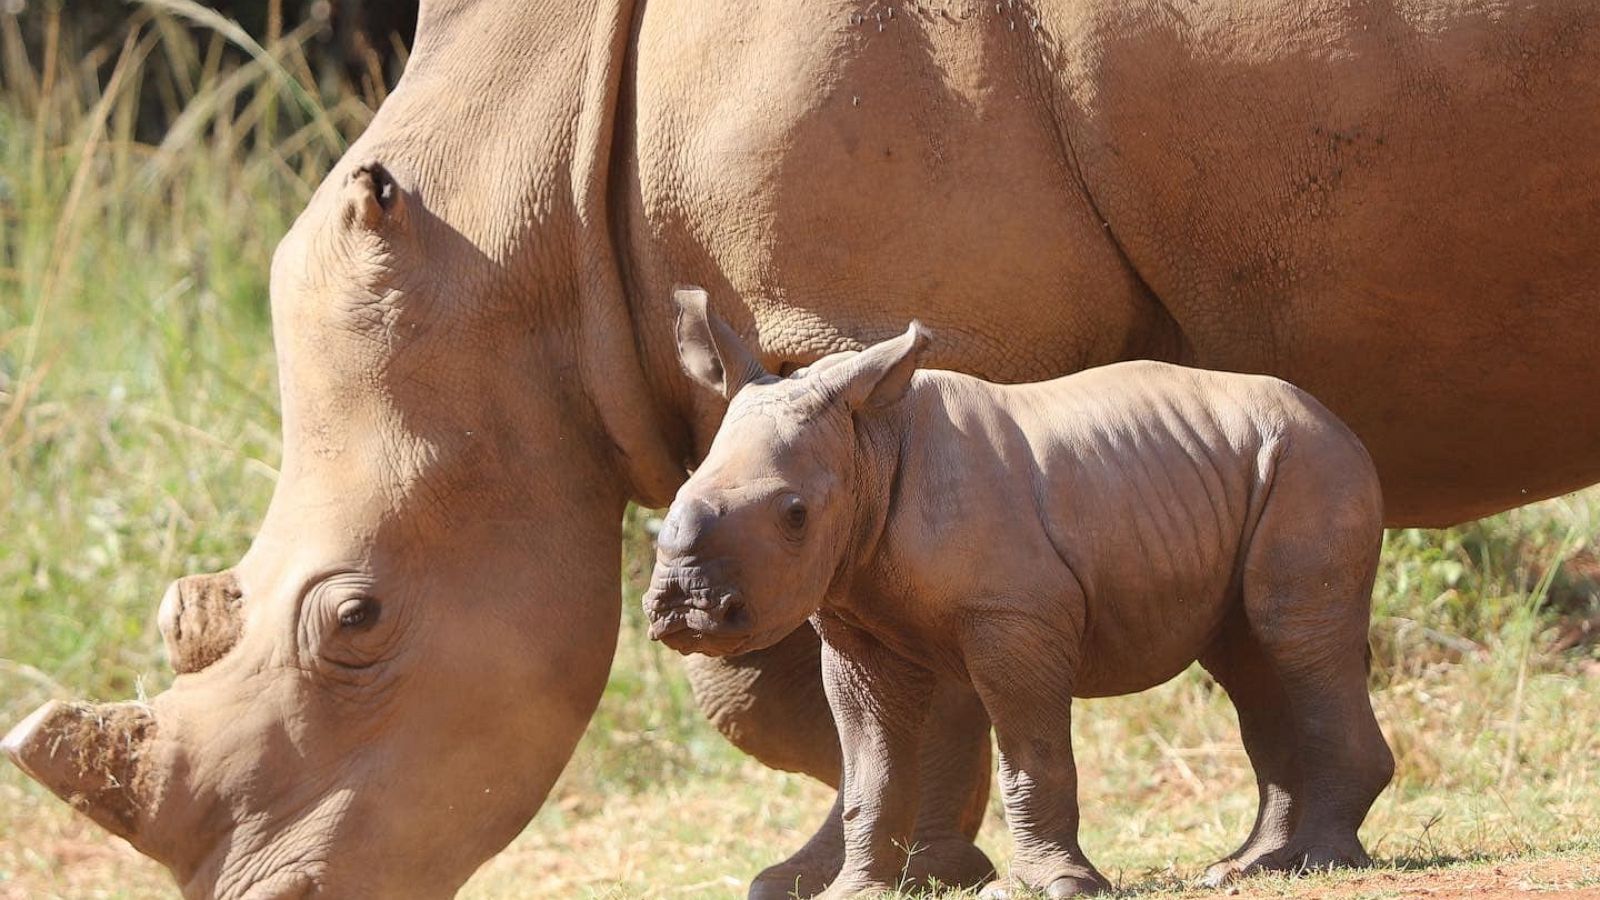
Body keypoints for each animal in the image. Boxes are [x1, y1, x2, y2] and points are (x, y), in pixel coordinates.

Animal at [643, 288, 1395, 896]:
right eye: (679, 493)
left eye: (795, 515)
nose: (683, 608)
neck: (870, 444)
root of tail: (1340, 422)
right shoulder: (854, 625)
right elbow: (871, 768)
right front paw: (853, 894)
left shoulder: (1015, 617)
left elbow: (1030, 752)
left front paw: (1057, 887)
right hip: (1251, 463)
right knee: (1247, 657)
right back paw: (1248, 868)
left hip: (1312, 460)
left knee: (1293, 632)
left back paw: (1319, 862)